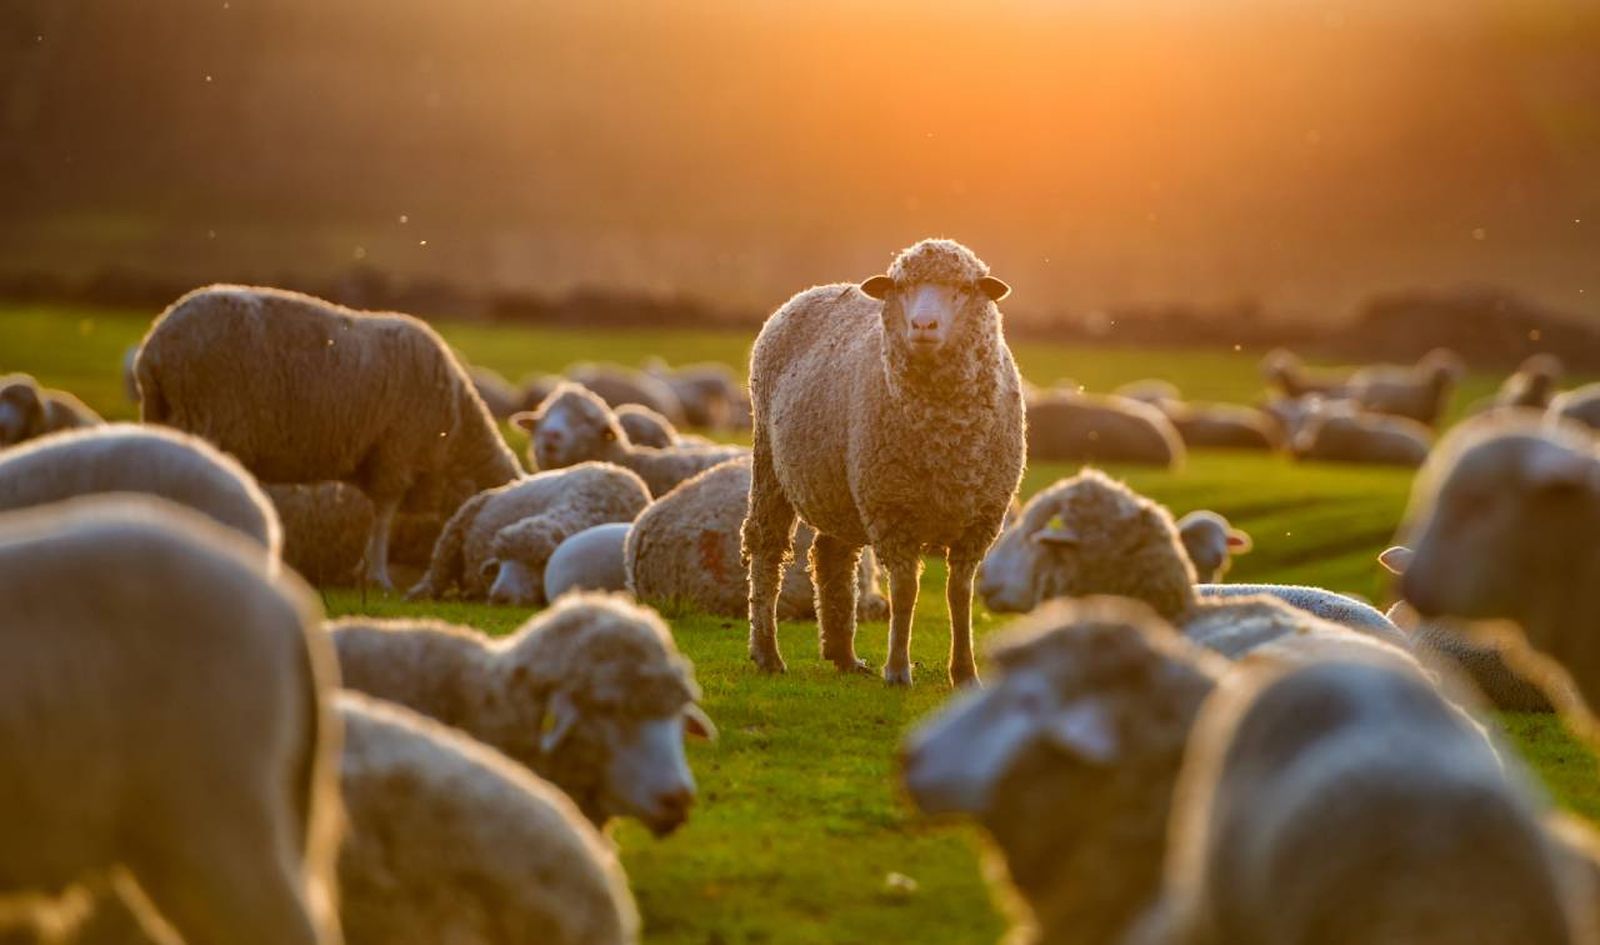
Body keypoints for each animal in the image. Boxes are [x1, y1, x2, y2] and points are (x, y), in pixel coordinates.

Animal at [135, 284, 521, 590]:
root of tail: (155, 346)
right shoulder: (396, 452)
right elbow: (383, 515)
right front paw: (377, 576)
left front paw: (363, 572)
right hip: (211, 418)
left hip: (164, 417)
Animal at [744, 238, 1026, 685]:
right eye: (901, 287)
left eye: (964, 288)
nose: (924, 326)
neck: (944, 433)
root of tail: (812, 291)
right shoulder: (894, 509)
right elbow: (905, 590)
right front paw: (897, 670)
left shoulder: (979, 521)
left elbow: (959, 594)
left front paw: (965, 671)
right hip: (769, 462)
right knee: (765, 547)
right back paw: (767, 653)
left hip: (840, 486)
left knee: (832, 554)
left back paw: (843, 655)